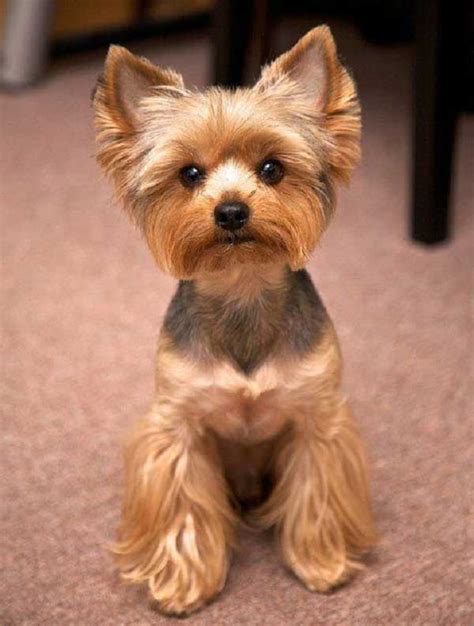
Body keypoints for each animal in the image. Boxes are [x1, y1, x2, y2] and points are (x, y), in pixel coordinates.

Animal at [93, 25, 378, 616]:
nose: (229, 210)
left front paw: (320, 562)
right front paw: (183, 584)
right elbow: (183, 508)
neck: (242, 288)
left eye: (272, 168)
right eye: (189, 174)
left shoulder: (318, 420)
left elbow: (315, 491)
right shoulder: (178, 429)